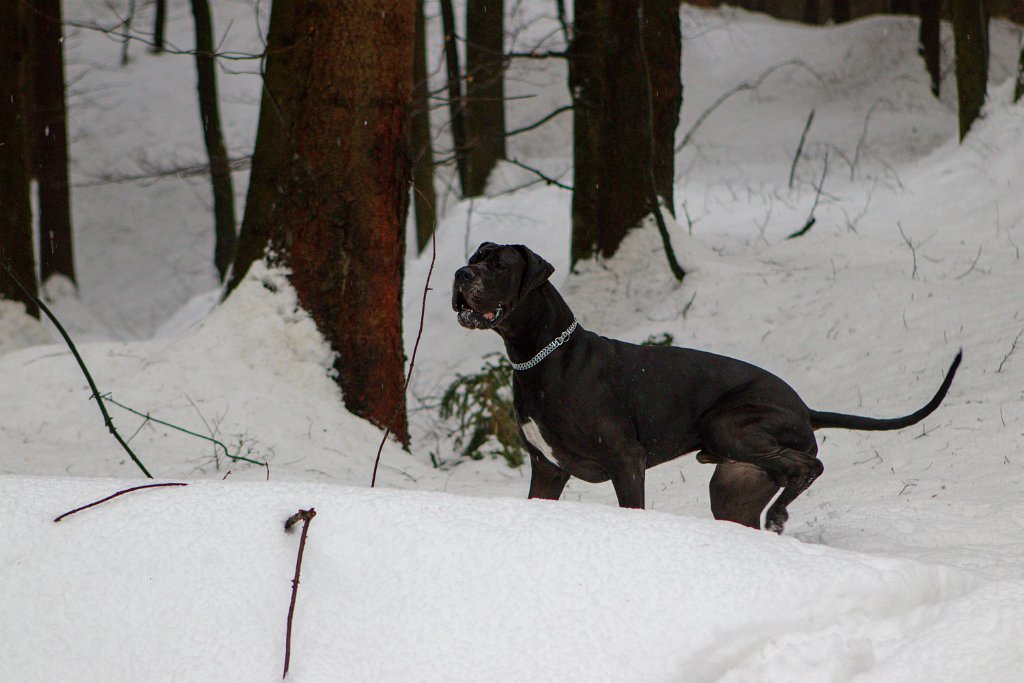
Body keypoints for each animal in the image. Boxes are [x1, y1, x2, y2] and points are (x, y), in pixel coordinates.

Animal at [452, 242, 962, 532]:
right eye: (473, 259)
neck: (542, 358)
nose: (460, 274)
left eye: (497, 266)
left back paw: (782, 512)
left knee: (810, 463)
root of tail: (804, 407)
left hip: (729, 424)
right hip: (735, 484)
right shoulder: (547, 469)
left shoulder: (625, 461)